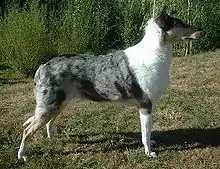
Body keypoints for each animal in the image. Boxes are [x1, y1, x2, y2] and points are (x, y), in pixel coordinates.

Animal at [18, 5, 201, 160]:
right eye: (179, 23)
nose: (201, 31)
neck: (154, 54)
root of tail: (42, 66)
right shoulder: (145, 106)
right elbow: (145, 133)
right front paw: (149, 152)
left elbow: (146, 132)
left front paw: (151, 145)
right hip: (50, 106)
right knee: (27, 130)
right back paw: (22, 155)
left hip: (59, 104)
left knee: (48, 123)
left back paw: (53, 139)